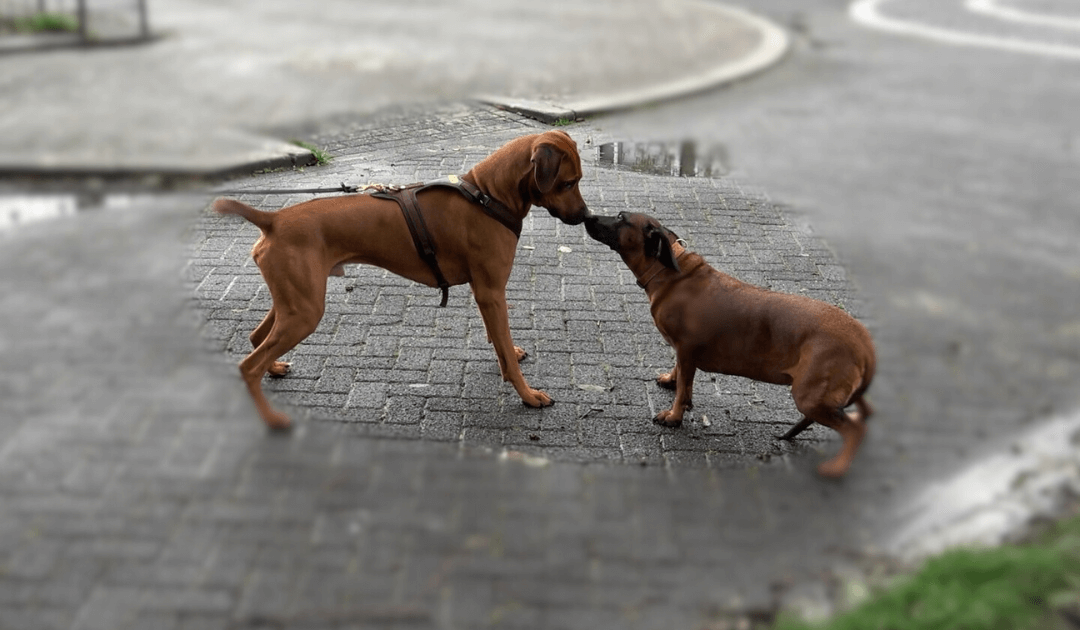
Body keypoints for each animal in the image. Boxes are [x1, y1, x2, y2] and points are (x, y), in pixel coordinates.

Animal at [211, 130, 591, 432]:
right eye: (568, 182)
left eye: (578, 179)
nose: (585, 216)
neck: (487, 195)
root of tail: (273, 219)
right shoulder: (492, 292)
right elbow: (508, 358)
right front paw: (528, 395)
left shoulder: (486, 293)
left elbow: (499, 343)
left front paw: (509, 352)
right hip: (304, 311)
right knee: (249, 366)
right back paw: (272, 419)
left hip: (293, 302)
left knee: (256, 338)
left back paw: (274, 368)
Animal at [583, 211, 876, 477]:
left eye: (621, 218)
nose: (588, 216)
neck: (668, 271)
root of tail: (863, 342)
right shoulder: (683, 353)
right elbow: (681, 378)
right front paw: (672, 381)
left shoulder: (686, 350)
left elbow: (682, 389)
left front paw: (675, 415)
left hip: (809, 395)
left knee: (854, 429)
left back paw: (837, 466)